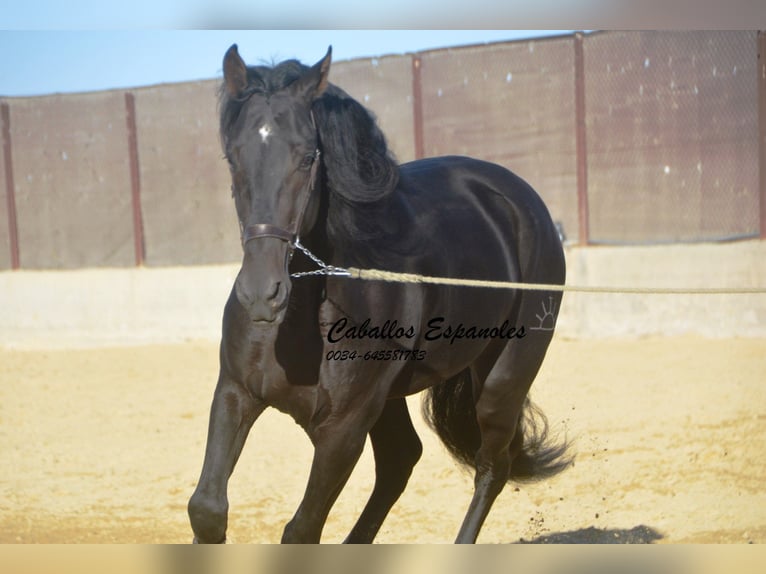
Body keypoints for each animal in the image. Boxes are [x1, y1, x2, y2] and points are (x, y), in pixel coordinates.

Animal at [188, 46, 568, 544]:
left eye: (307, 158)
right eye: (233, 157)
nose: (260, 295)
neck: (304, 321)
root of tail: (524, 202)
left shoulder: (342, 430)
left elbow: (302, 529)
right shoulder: (236, 392)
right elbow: (207, 510)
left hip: (502, 380)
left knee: (491, 466)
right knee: (401, 459)